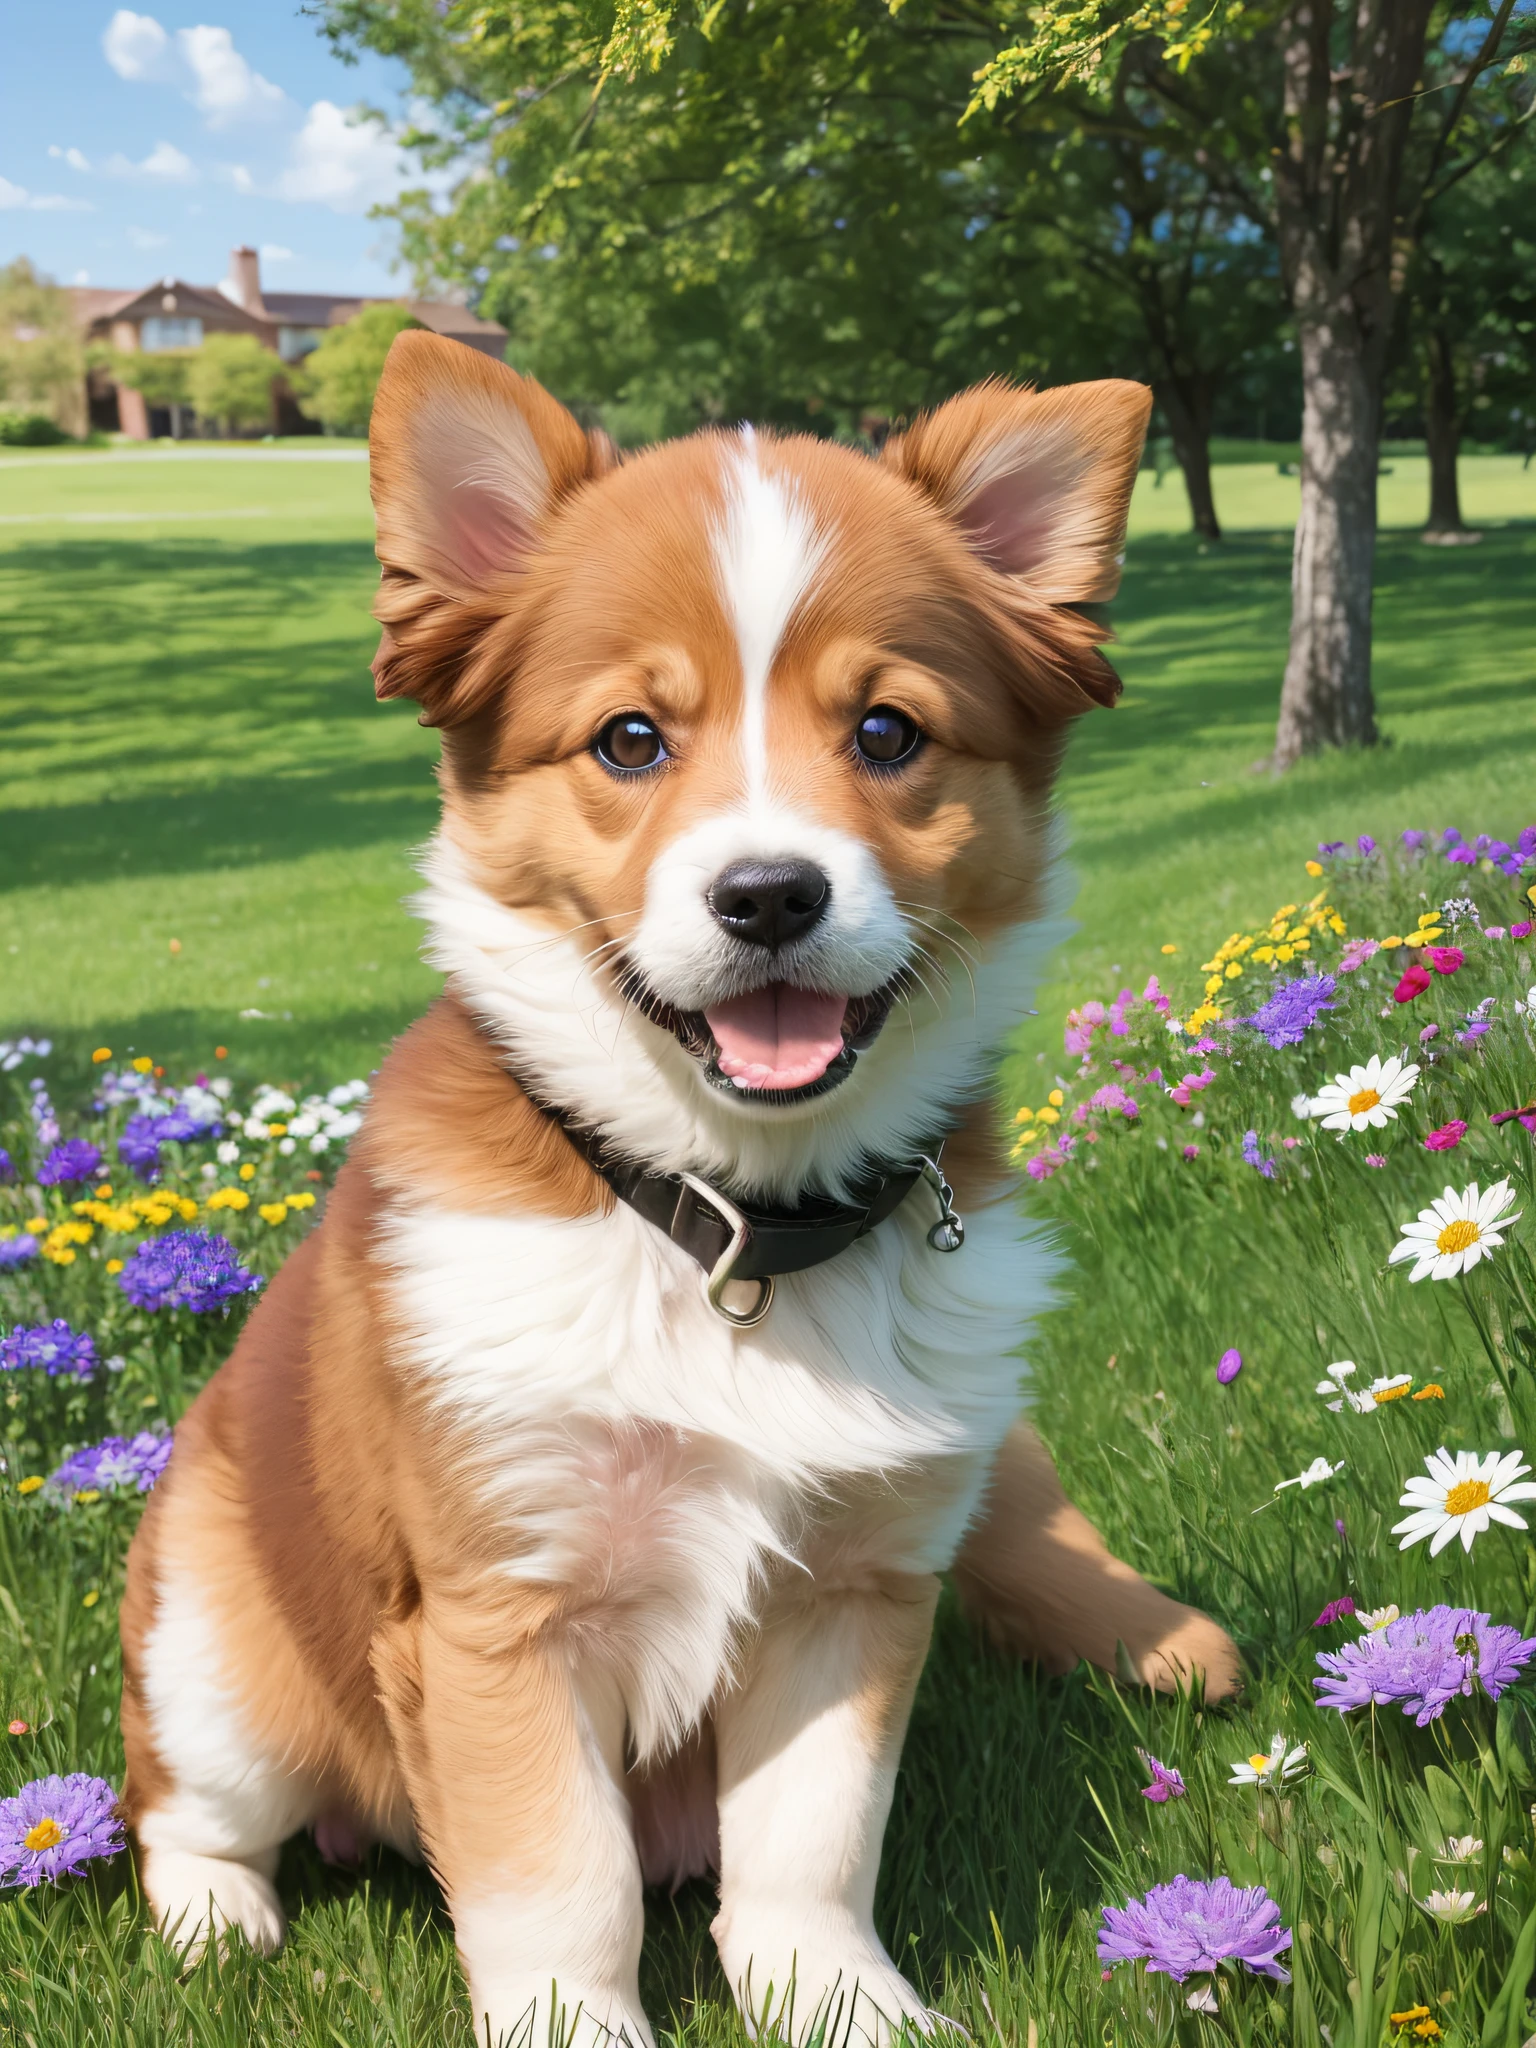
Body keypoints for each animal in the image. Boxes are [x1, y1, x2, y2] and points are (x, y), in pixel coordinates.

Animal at [123, 335, 1236, 2048]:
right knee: (180, 1812)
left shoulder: (853, 1588)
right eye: (630, 740)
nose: (770, 895)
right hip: (218, 1664)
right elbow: (553, 1879)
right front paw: (574, 2025)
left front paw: (839, 2002)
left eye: (890, 733)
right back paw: (213, 1924)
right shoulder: (501, 1612)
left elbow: (813, 1846)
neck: (732, 1229)